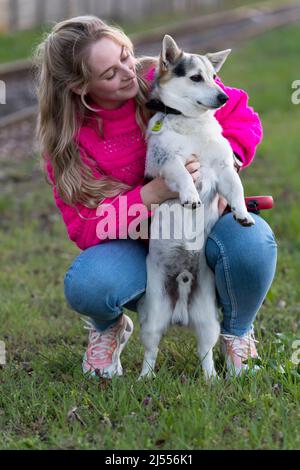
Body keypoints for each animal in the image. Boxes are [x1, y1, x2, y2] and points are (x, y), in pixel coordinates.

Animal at [137, 35, 254, 380]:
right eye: (195, 77)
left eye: (215, 77)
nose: (223, 96)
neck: (191, 124)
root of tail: (181, 310)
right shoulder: (166, 164)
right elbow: (180, 171)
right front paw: (189, 195)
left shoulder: (225, 169)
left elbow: (236, 188)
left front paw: (241, 212)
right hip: (153, 320)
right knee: (150, 351)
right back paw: (144, 378)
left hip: (208, 322)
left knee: (206, 353)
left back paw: (212, 380)